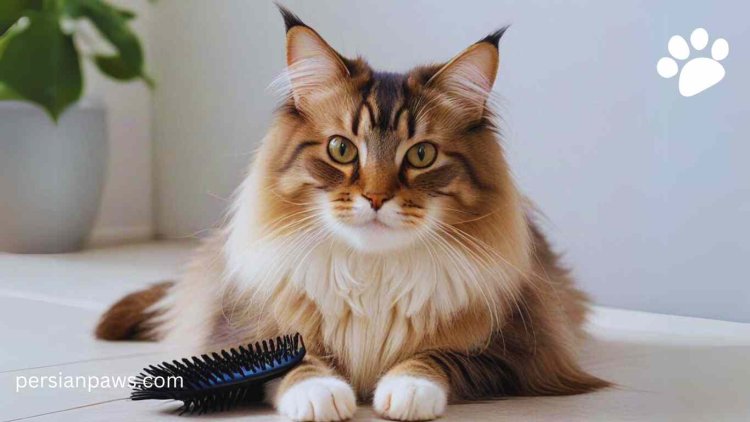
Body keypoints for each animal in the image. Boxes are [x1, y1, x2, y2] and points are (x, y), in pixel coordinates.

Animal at [95, 6, 612, 422]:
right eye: (341, 149)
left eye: (421, 155)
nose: (377, 198)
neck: (372, 274)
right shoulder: (236, 334)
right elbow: (288, 360)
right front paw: (320, 395)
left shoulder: (518, 353)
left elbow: (438, 358)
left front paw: (406, 391)